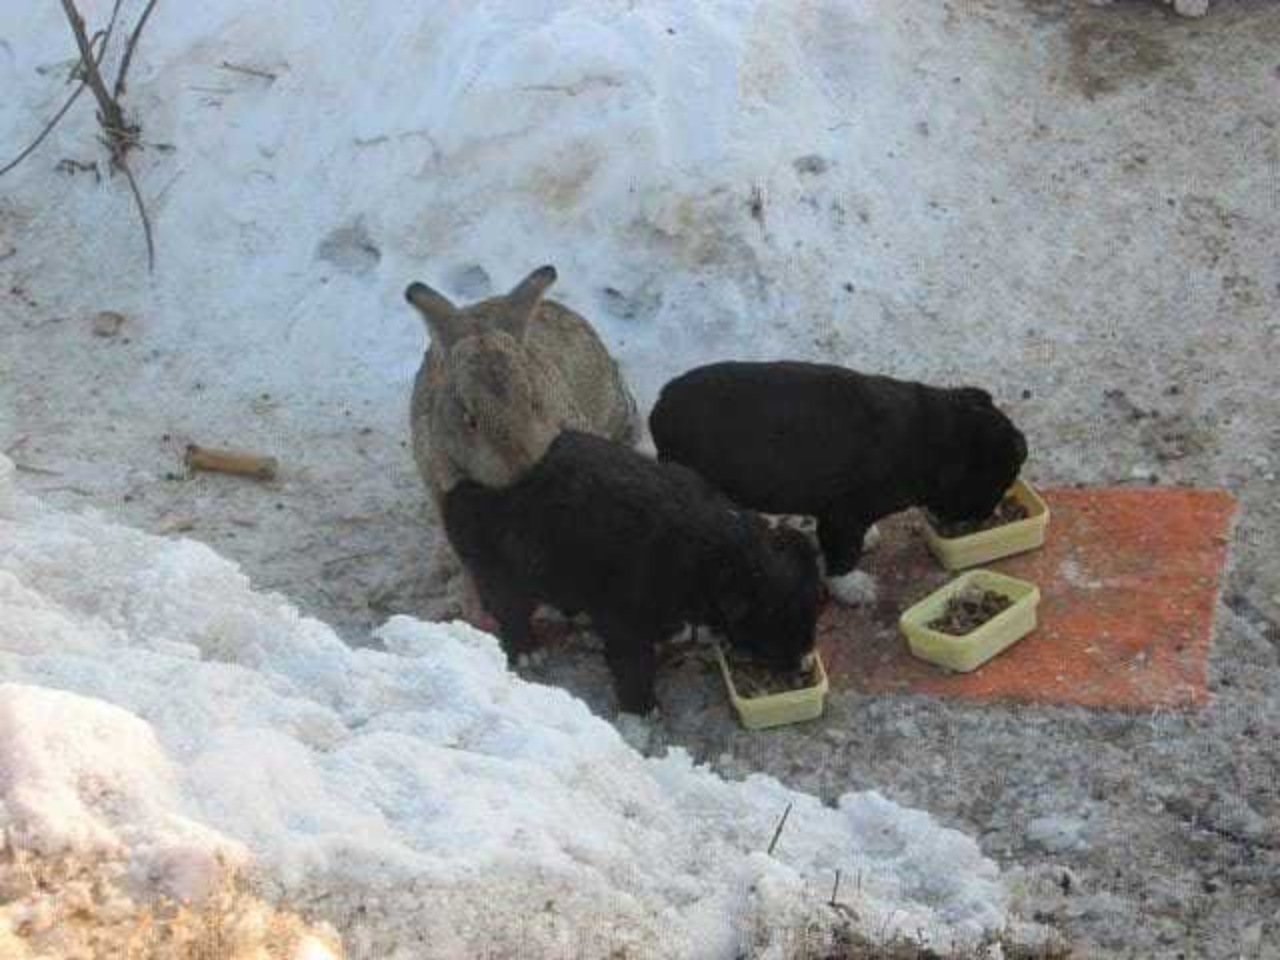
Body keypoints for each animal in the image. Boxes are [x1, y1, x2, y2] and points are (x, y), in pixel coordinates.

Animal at [440, 427, 819, 716]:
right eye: (774, 626)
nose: (802, 666)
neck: (719, 555)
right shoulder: (625, 615)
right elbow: (632, 662)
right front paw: (642, 707)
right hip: (507, 558)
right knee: (507, 601)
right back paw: (525, 648)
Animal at [650, 363, 1029, 604]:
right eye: (995, 482)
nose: (988, 515)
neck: (931, 436)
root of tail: (659, 409)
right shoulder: (843, 516)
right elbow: (843, 554)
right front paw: (854, 588)